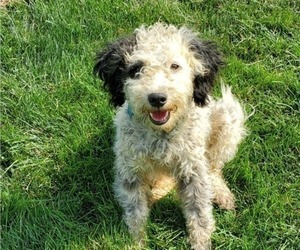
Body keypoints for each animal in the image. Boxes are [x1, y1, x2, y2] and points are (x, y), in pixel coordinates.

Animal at [93, 22, 246, 249]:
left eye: (175, 66)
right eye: (136, 69)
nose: (157, 98)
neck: (162, 135)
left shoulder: (193, 171)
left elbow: (200, 213)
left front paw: (200, 243)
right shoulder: (130, 171)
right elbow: (135, 213)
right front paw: (136, 242)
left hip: (228, 115)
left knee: (214, 167)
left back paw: (221, 194)